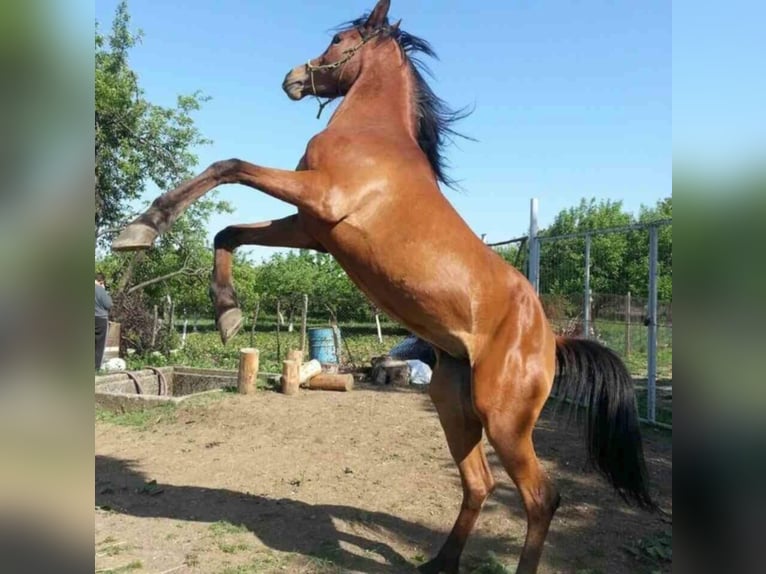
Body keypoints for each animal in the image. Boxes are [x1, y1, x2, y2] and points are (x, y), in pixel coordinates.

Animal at [112, 2, 656, 572]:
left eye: (339, 40)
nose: (293, 78)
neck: (374, 136)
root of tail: (551, 340)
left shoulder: (320, 199)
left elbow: (229, 166)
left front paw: (139, 229)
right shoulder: (311, 227)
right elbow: (229, 232)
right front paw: (226, 314)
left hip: (505, 420)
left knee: (541, 498)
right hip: (452, 403)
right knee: (478, 483)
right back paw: (439, 562)